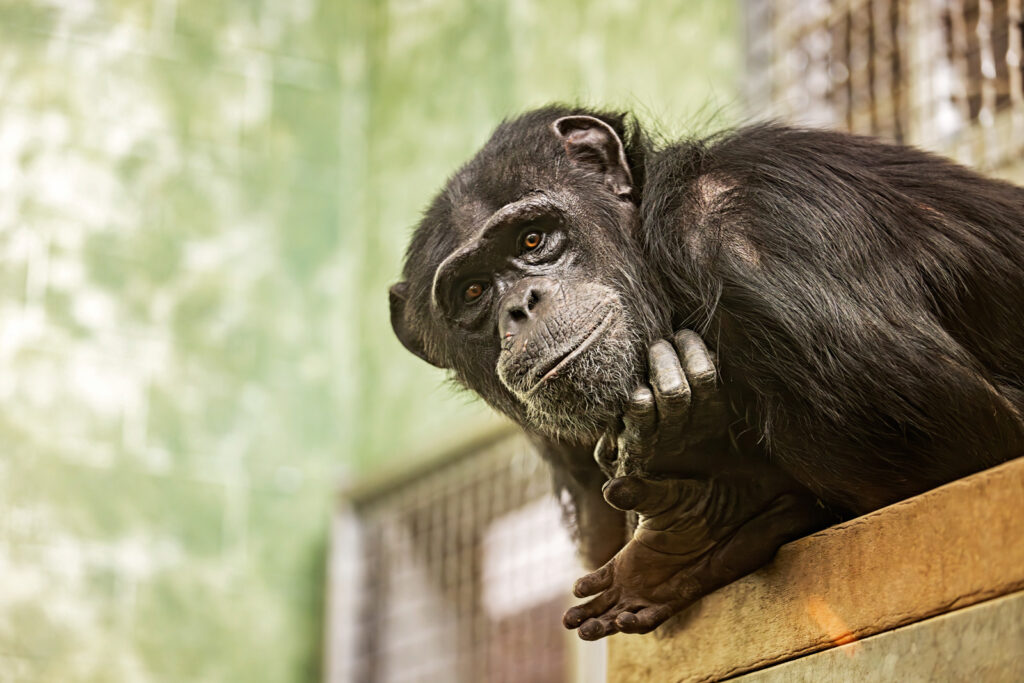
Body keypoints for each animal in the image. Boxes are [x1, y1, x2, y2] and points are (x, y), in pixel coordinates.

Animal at [389, 105, 1024, 640]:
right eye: (473, 291)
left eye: (532, 238)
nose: (521, 305)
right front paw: (701, 512)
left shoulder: (742, 226)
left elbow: (955, 441)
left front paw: (709, 471)